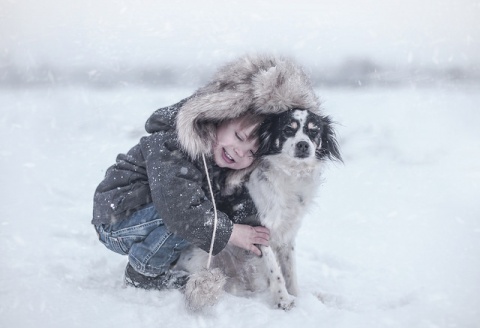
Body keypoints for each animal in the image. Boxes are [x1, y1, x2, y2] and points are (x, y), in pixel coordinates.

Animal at [177, 109, 342, 312]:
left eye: (314, 131)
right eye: (288, 130)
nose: (303, 145)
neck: (290, 174)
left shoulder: (287, 234)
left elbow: (290, 270)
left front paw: (296, 296)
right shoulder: (258, 228)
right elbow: (275, 270)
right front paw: (283, 300)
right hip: (202, 258)